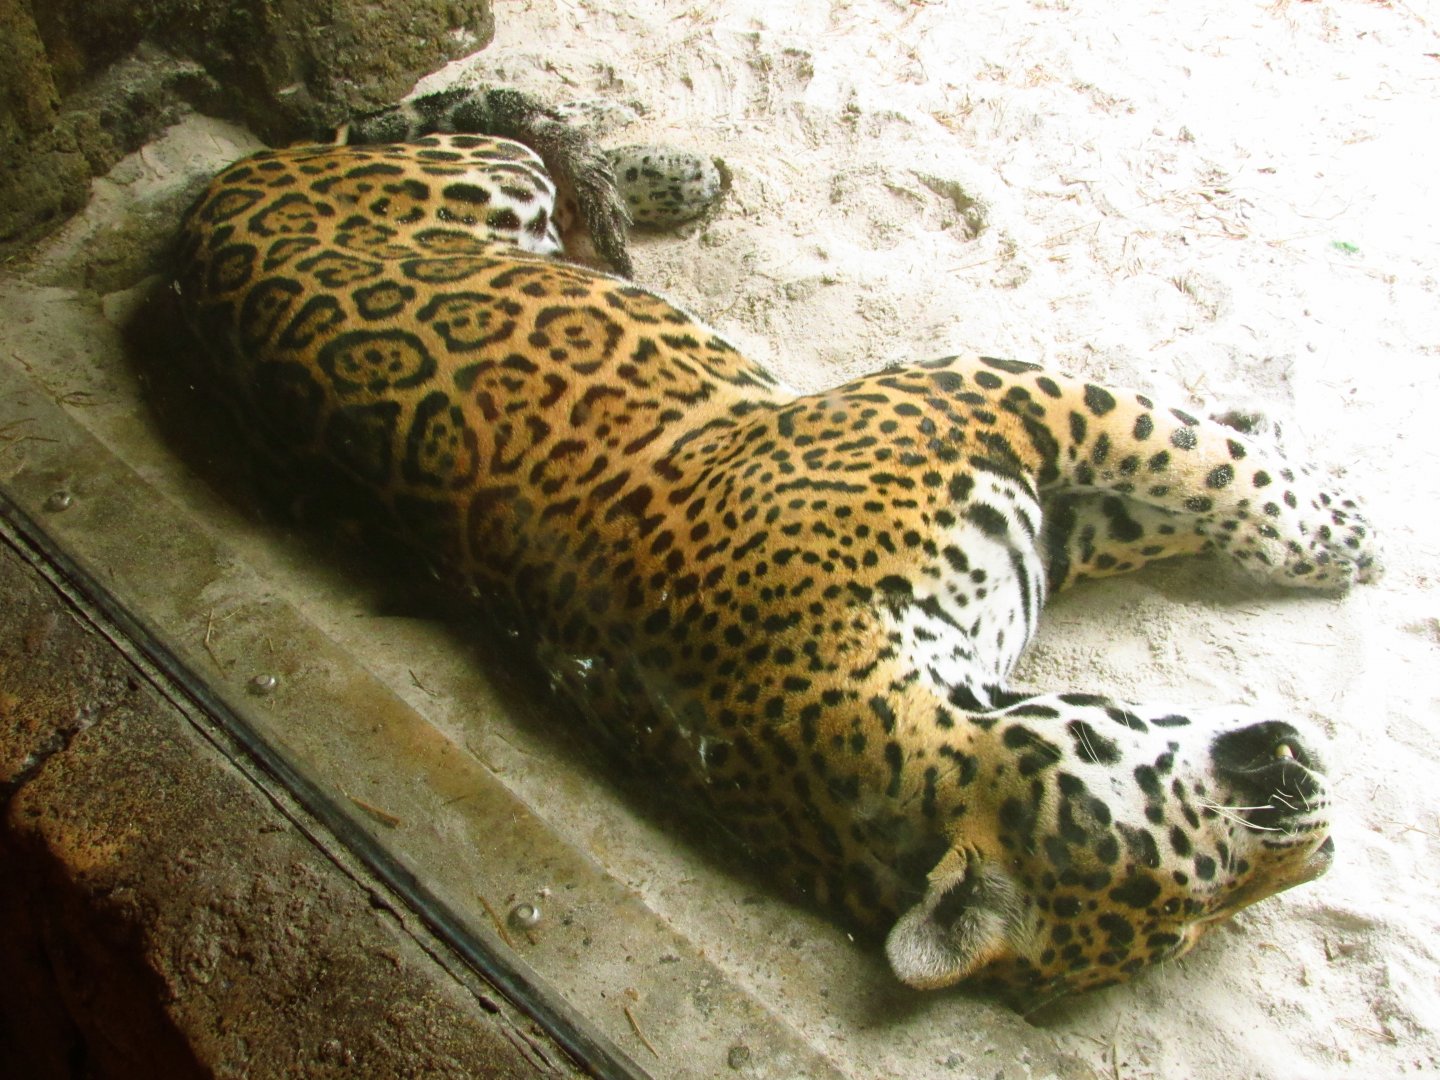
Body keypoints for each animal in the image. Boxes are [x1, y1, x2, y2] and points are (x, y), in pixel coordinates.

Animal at [172, 86, 1378, 1006]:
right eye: (1204, 888)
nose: (1314, 798)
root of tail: (197, 218)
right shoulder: (991, 396)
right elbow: (1199, 465)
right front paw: (1345, 533)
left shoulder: (1044, 509)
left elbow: (1174, 483)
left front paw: (1271, 451)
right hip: (483, 175)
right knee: (477, 138)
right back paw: (664, 175)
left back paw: (673, 179)